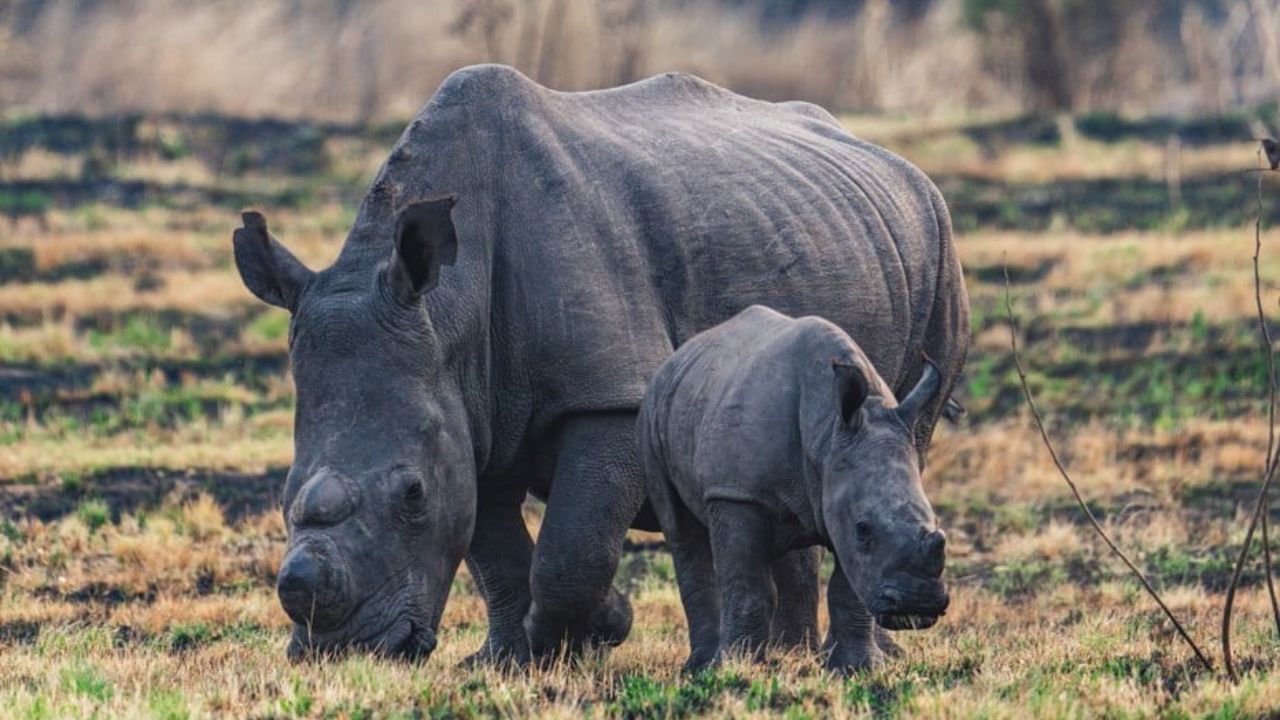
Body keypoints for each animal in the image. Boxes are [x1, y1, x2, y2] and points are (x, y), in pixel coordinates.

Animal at [637, 305, 949, 672]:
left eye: (936, 524)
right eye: (863, 528)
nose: (917, 607)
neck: (828, 432)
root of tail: (675, 359)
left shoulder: (840, 490)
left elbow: (848, 588)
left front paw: (859, 668)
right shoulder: (736, 494)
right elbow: (748, 587)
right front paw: (738, 669)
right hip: (652, 414)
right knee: (682, 531)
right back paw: (701, 668)